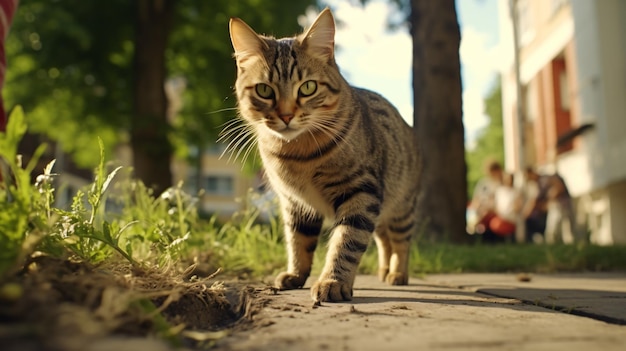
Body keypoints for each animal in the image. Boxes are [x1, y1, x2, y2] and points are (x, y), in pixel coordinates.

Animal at [227, 6, 416, 304]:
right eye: (264, 90)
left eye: (307, 87)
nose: (286, 115)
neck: (296, 155)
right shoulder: (295, 202)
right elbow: (298, 242)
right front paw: (296, 275)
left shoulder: (360, 194)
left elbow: (346, 242)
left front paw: (333, 281)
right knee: (384, 240)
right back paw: (384, 271)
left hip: (400, 207)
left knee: (400, 242)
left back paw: (397, 273)